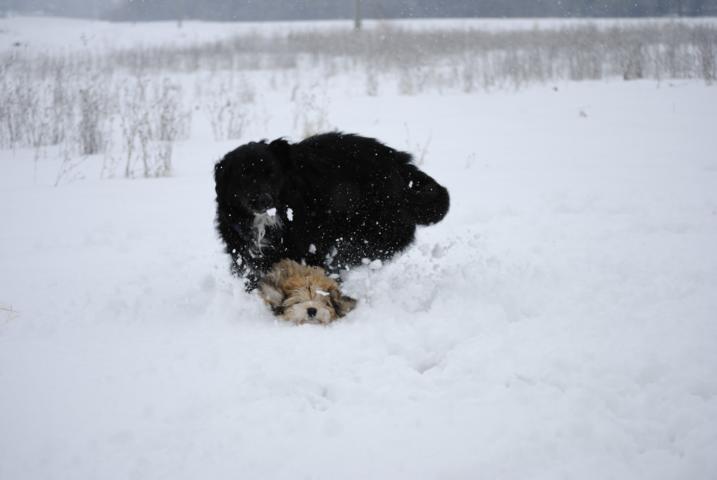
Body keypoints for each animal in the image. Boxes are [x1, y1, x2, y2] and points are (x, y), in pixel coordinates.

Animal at [215, 131, 450, 290]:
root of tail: (397, 161)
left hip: (377, 230)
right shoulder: (247, 258)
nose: (264, 200)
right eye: (244, 176)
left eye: (271, 173)